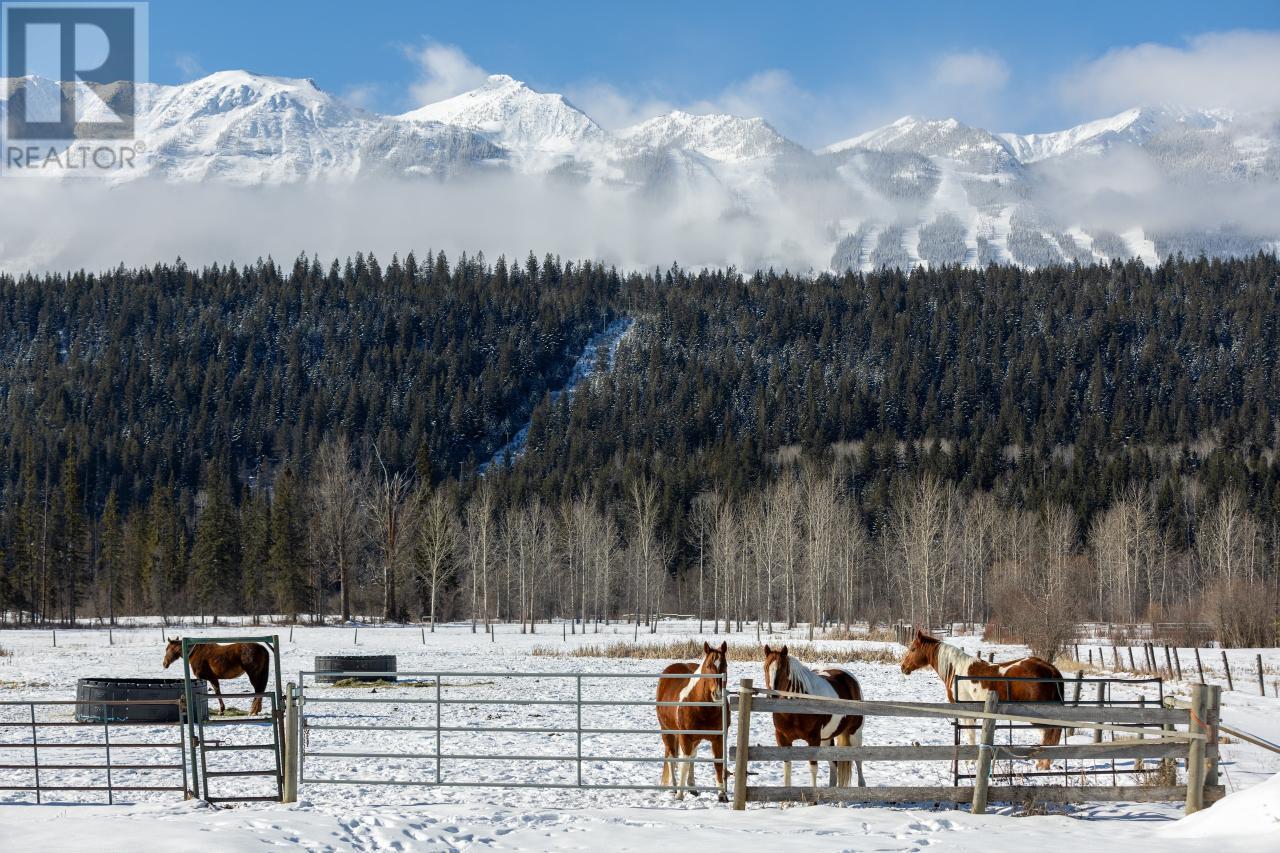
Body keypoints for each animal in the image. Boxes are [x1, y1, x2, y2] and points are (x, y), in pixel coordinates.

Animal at [660, 637, 732, 799]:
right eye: (708, 666)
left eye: (724, 665)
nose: (718, 694)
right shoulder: (685, 737)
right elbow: (684, 762)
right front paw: (680, 795)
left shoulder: (718, 738)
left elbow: (718, 763)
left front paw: (722, 795)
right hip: (667, 731)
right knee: (672, 756)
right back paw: (674, 788)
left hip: (695, 739)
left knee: (692, 756)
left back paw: (692, 787)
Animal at [757, 645, 870, 788]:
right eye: (765, 667)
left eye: (783, 668)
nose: (772, 696)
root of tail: (849, 677)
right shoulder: (783, 739)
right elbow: (787, 769)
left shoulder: (813, 739)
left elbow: (813, 768)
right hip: (826, 738)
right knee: (834, 765)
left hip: (854, 733)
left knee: (858, 761)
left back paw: (862, 785)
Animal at [901, 625, 1070, 768]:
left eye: (913, 649)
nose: (903, 667)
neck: (956, 670)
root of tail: (1050, 668)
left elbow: (970, 735)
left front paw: (970, 762)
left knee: (1048, 734)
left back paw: (1043, 764)